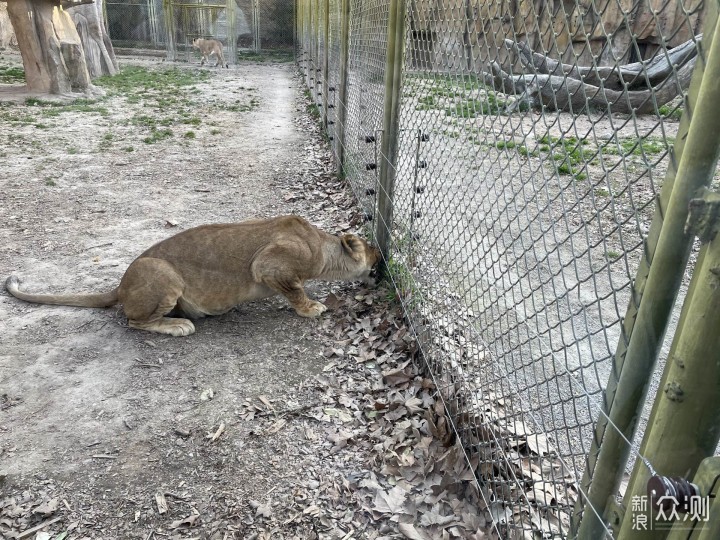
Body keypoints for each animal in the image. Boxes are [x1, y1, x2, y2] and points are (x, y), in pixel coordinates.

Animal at [5, 214, 380, 334]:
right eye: (372, 249)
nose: (381, 259)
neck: (322, 246)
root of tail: (121, 284)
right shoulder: (269, 265)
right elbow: (295, 290)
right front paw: (311, 307)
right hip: (161, 274)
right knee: (133, 321)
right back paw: (178, 325)